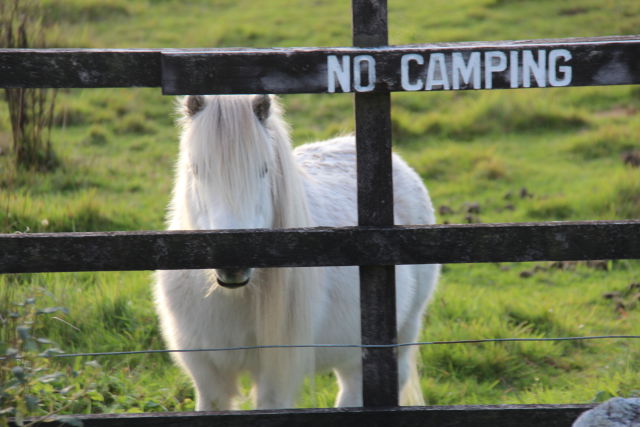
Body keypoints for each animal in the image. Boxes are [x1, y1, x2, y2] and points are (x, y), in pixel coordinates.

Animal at [153, 94, 440, 410]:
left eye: (264, 169)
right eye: (196, 169)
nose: (233, 262)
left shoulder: (275, 376)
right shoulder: (207, 375)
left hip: (401, 331)